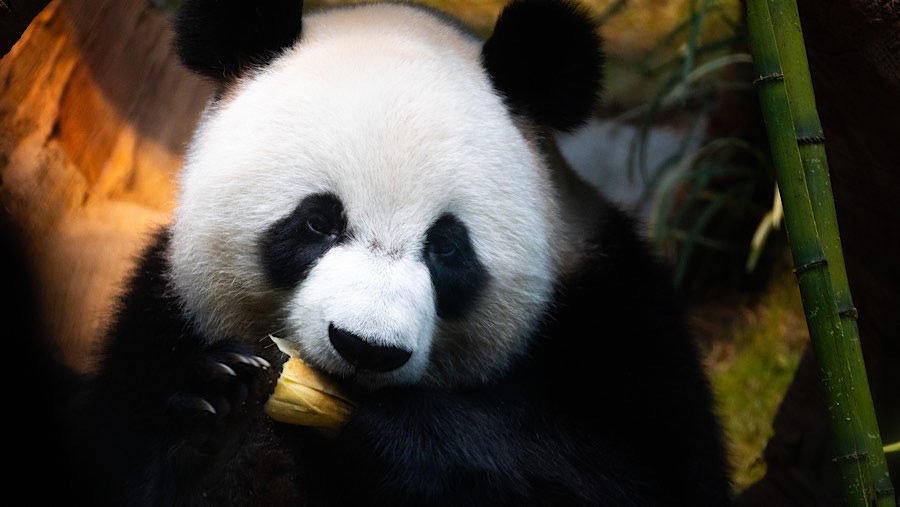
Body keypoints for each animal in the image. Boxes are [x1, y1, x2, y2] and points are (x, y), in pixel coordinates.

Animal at [74, 0, 733, 505]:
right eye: (317, 222)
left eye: (447, 247)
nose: (366, 348)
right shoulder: (159, 321)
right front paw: (225, 408)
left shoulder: (614, 313)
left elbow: (641, 474)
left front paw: (407, 440)